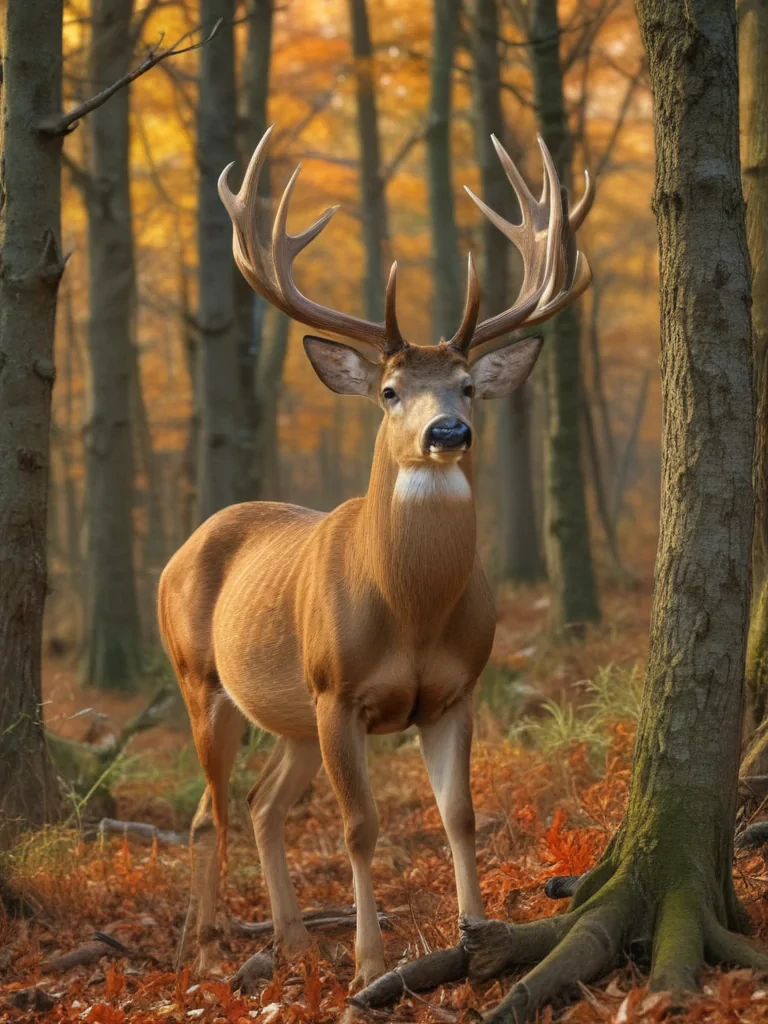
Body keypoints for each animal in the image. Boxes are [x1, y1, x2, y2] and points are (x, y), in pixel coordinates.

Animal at [158, 125, 594, 990]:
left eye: (468, 386)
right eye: (390, 391)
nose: (448, 432)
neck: (413, 614)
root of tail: (179, 548)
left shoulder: (457, 689)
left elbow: (460, 815)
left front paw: (476, 936)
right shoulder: (338, 689)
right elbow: (359, 827)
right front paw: (367, 966)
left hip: (289, 715)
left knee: (258, 805)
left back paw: (291, 942)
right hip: (203, 679)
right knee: (208, 809)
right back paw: (209, 940)